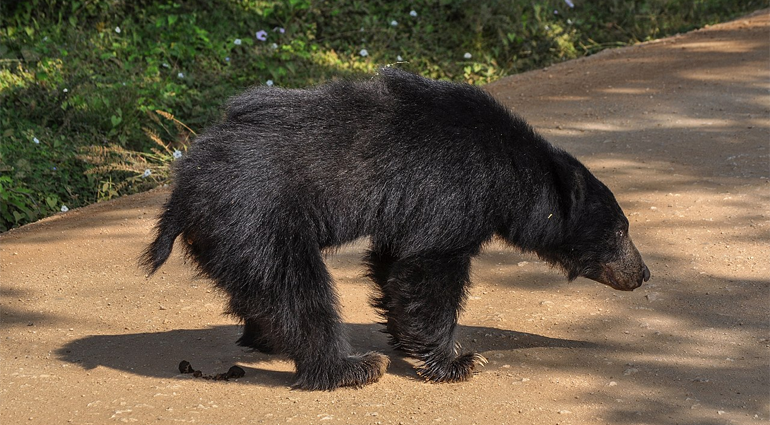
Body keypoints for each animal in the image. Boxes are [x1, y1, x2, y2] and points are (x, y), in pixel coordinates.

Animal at [141, 67, 650, 390]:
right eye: (621, 231)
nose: (643, 274)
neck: (511, 172)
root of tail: (185, 188)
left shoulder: (411, 209)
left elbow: (395, 262)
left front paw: (415, 344)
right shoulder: (453, 188)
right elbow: (430, 268)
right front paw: (460, 360)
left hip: (230, 234)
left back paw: (266, 339)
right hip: (258, 218)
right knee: (296, 290)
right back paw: (351, 367)